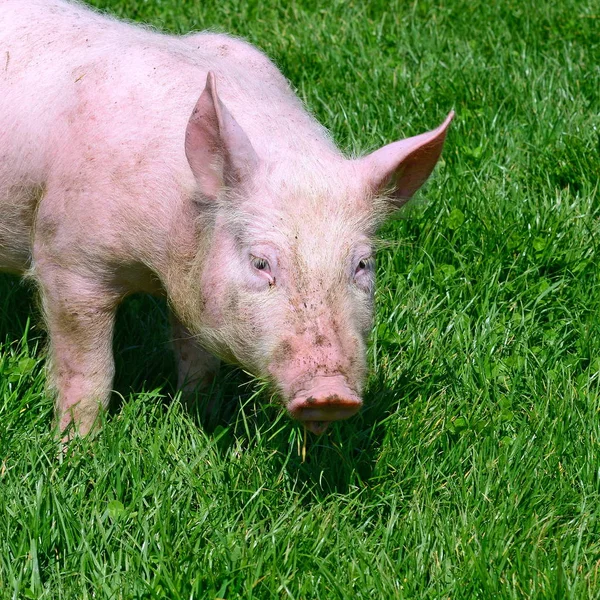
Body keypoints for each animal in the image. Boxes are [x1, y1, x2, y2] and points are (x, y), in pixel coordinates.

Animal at [0, 1, 452, 440]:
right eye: (260, 263)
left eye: (361, 264)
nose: (330, 394)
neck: (162, 260)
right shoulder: (67, 262)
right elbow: (89, 371)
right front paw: (76, 446)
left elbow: (196, 357)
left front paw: (199, 415)